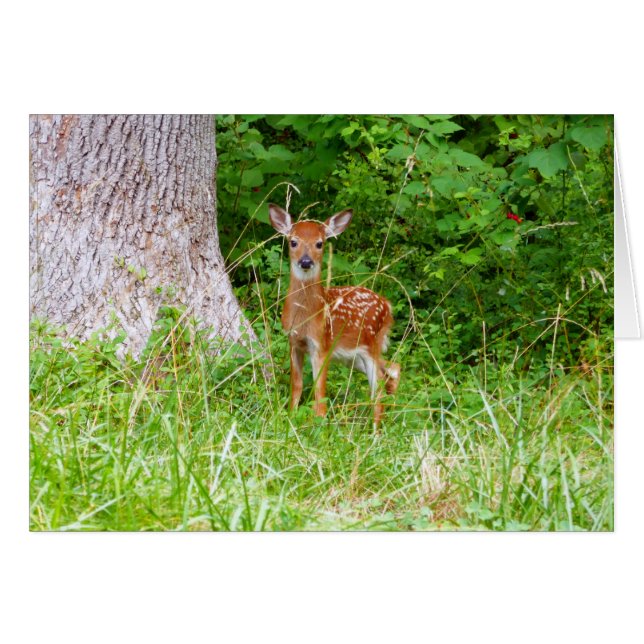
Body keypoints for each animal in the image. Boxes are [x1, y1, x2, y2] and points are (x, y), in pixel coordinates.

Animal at [269, 203, 400, 427]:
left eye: (319, 243)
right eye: (293, 241)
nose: (306, 261)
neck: (306, 316)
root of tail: (387, 305)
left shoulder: (322, 345)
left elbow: (319, 392)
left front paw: (319, 424)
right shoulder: (294, 342)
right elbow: (297, 385)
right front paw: (290, 417)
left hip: (371, 345)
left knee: (379, 391)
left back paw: (376, 430)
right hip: (353, 355)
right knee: (392, 369)